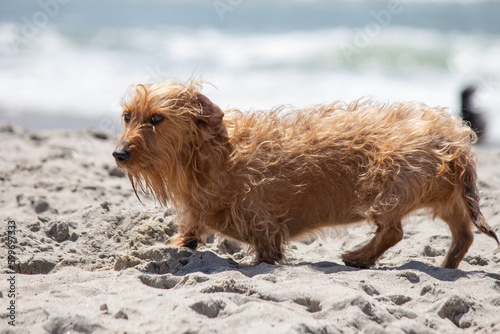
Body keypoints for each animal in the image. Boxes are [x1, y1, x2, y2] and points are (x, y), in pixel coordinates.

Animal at [111, 80, 498, 268]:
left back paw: (359, 257)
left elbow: (267, 251)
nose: (119, 154)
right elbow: (190, 229)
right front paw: (181, 242)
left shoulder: (265, 224)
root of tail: (454, 138)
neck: (213, 157)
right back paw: (447, 264)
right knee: (464, 234)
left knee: (394, 231)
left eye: (157, 118)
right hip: (447, 197)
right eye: (127, 116)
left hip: (388, 180)